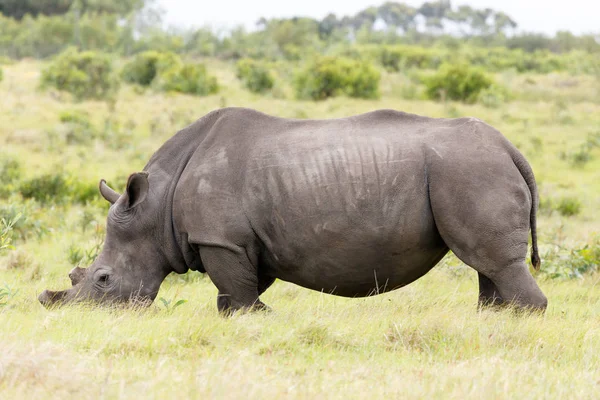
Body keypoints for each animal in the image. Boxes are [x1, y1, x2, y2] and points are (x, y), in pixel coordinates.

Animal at [37, 108, 548, 312]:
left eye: (103, 280)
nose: (78, 315)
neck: (155, 208)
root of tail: (511, 148)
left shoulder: (220, 238)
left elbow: (238, 290)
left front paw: (254, 318)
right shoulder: (242, 240)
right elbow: (238, 288)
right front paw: (243, 318)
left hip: (469, 169)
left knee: (493, 261)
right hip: (471, 169)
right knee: (487, 266)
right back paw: (490, 321)